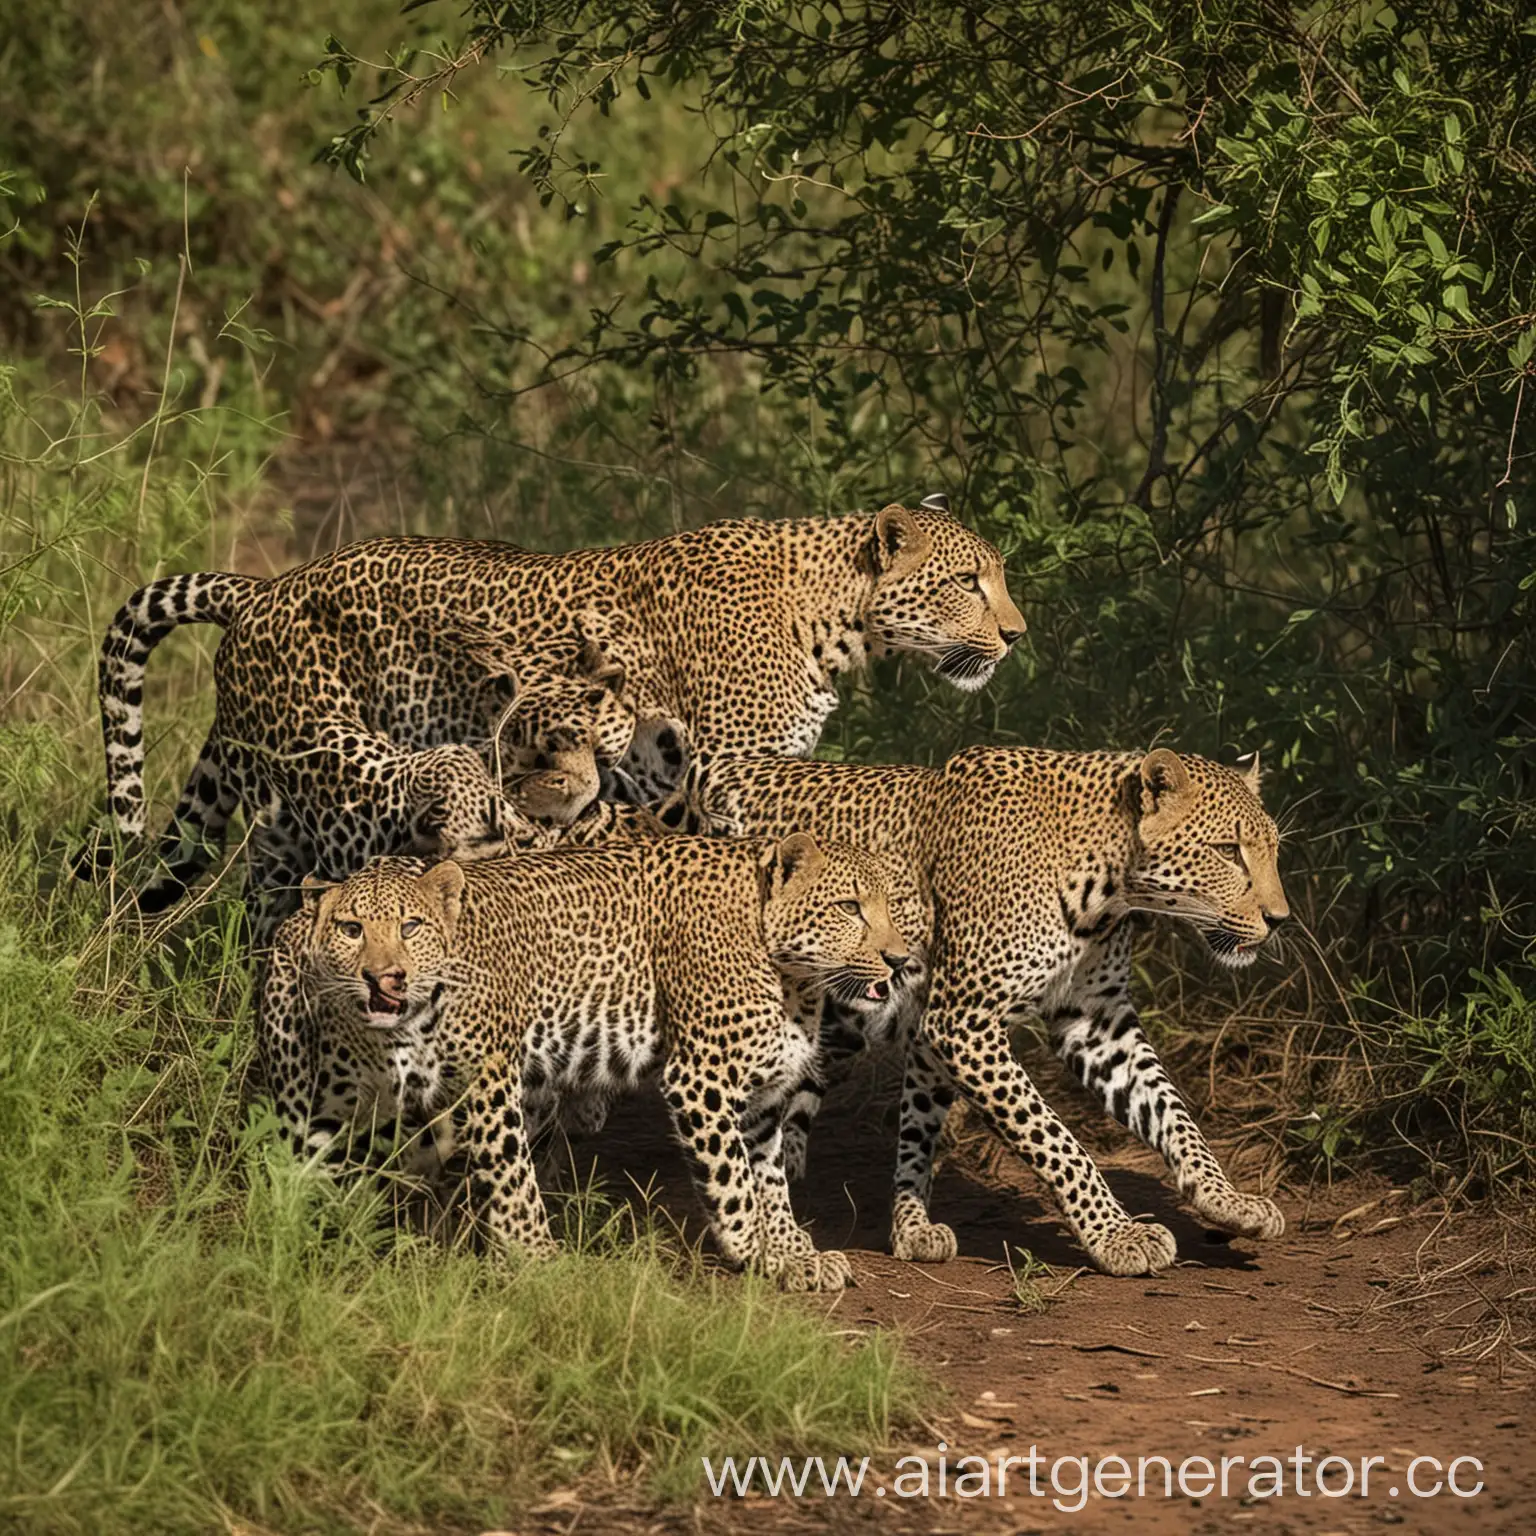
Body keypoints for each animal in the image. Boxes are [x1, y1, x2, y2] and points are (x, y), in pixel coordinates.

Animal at [81, 497, 1019, 933]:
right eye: (968, 582)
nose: (1015, 634)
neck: (837, 618)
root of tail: (263, 591)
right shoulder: (737, 764)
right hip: (342, 773)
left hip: (271, 801)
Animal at [258, 835, 915, 1290]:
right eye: (850, 908)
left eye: (887, 907)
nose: (900, 959)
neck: (793, 975)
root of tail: (302, 912)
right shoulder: (699, 1079)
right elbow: (733, 1180)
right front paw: (754, 1252)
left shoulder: (760, 1095)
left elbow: (769, 1178)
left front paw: (793, 1254)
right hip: (383, 1092)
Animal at [666, 749, 1290, 1277]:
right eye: (1228, 851)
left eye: (1274, 850)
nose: (1279, 919)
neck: (1108, 890)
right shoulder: (966, 1020)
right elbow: (1057, 1140)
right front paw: (1116, 1235)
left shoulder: (1094, 1021)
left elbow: (1170, 1111)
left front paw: (1226, 1199)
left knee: (893, 1117)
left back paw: (903, 1224)